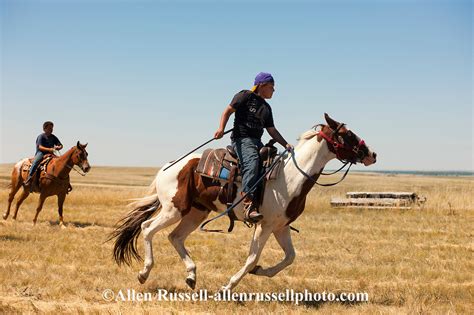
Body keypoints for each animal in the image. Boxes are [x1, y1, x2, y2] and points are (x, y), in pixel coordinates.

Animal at [111, 115, 378, 294]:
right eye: (347, 134)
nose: (372, 154)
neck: (291, 177)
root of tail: (169, 166)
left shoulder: (280, 227)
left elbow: (290, 257)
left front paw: (261, 271)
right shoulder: (264, 225)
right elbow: (251, 258)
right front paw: (228, 287)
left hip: (196, 212)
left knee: (175, 237)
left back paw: (191, 276)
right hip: (173, 209)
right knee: (147, 228)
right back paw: (144, 273)